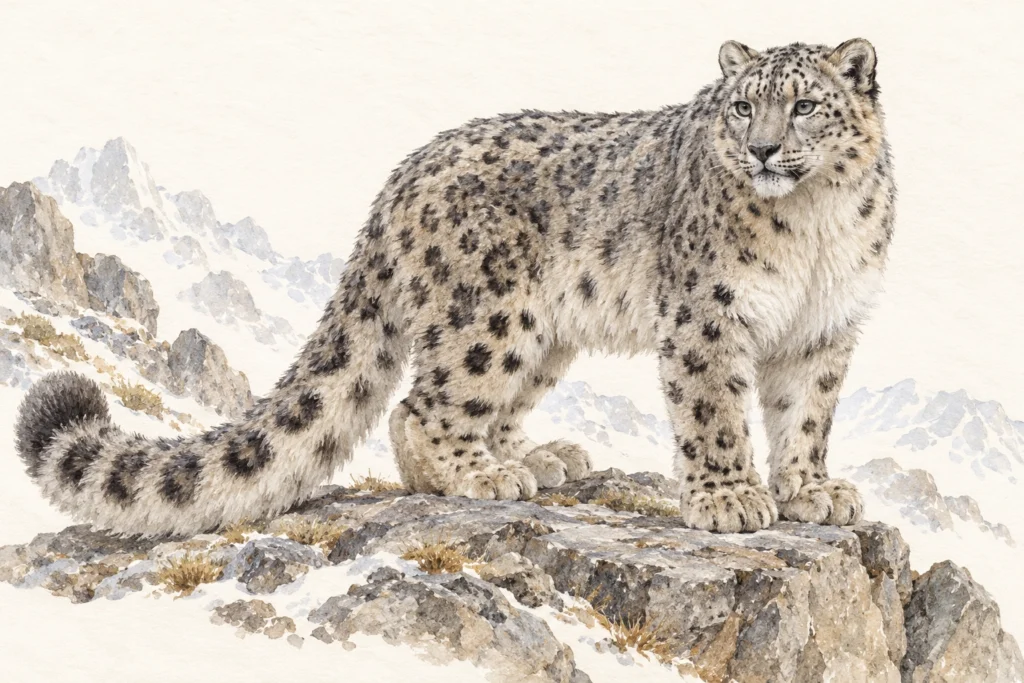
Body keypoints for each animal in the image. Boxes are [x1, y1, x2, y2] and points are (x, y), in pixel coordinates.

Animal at [15, 38, 895, 537]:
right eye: (742, 105)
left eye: (805, 106)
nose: (763, 150)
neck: (813, 226)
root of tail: (400, 178)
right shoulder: (707, 315)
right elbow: (713, 412)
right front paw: (729, 498)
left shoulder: (826, 327)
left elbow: (806, 415)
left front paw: (813, 491)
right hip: (492, 315)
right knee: (420, 407)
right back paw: (485, 475)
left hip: (544, 333)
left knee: (478, 406)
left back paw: (539, 456)